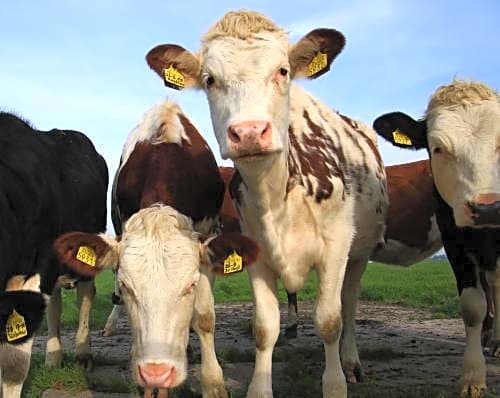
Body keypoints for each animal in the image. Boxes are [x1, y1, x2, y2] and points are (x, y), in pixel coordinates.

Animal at [54, 100, 258, 398]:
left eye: (190, 286)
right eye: (127, 287)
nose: (156, 372)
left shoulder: (207, 240)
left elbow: (204, 317)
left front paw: (213, 383)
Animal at [143, 10, 388, 398]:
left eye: (282, 70)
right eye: (210, 80)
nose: (249, 132)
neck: (278, 197)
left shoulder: (336, 247)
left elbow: (330, 321)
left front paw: (334, 384)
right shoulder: (255, 251)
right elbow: (264, 328)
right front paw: (259, 387)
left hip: (359, 253)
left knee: (348, 305)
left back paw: (350, 362)